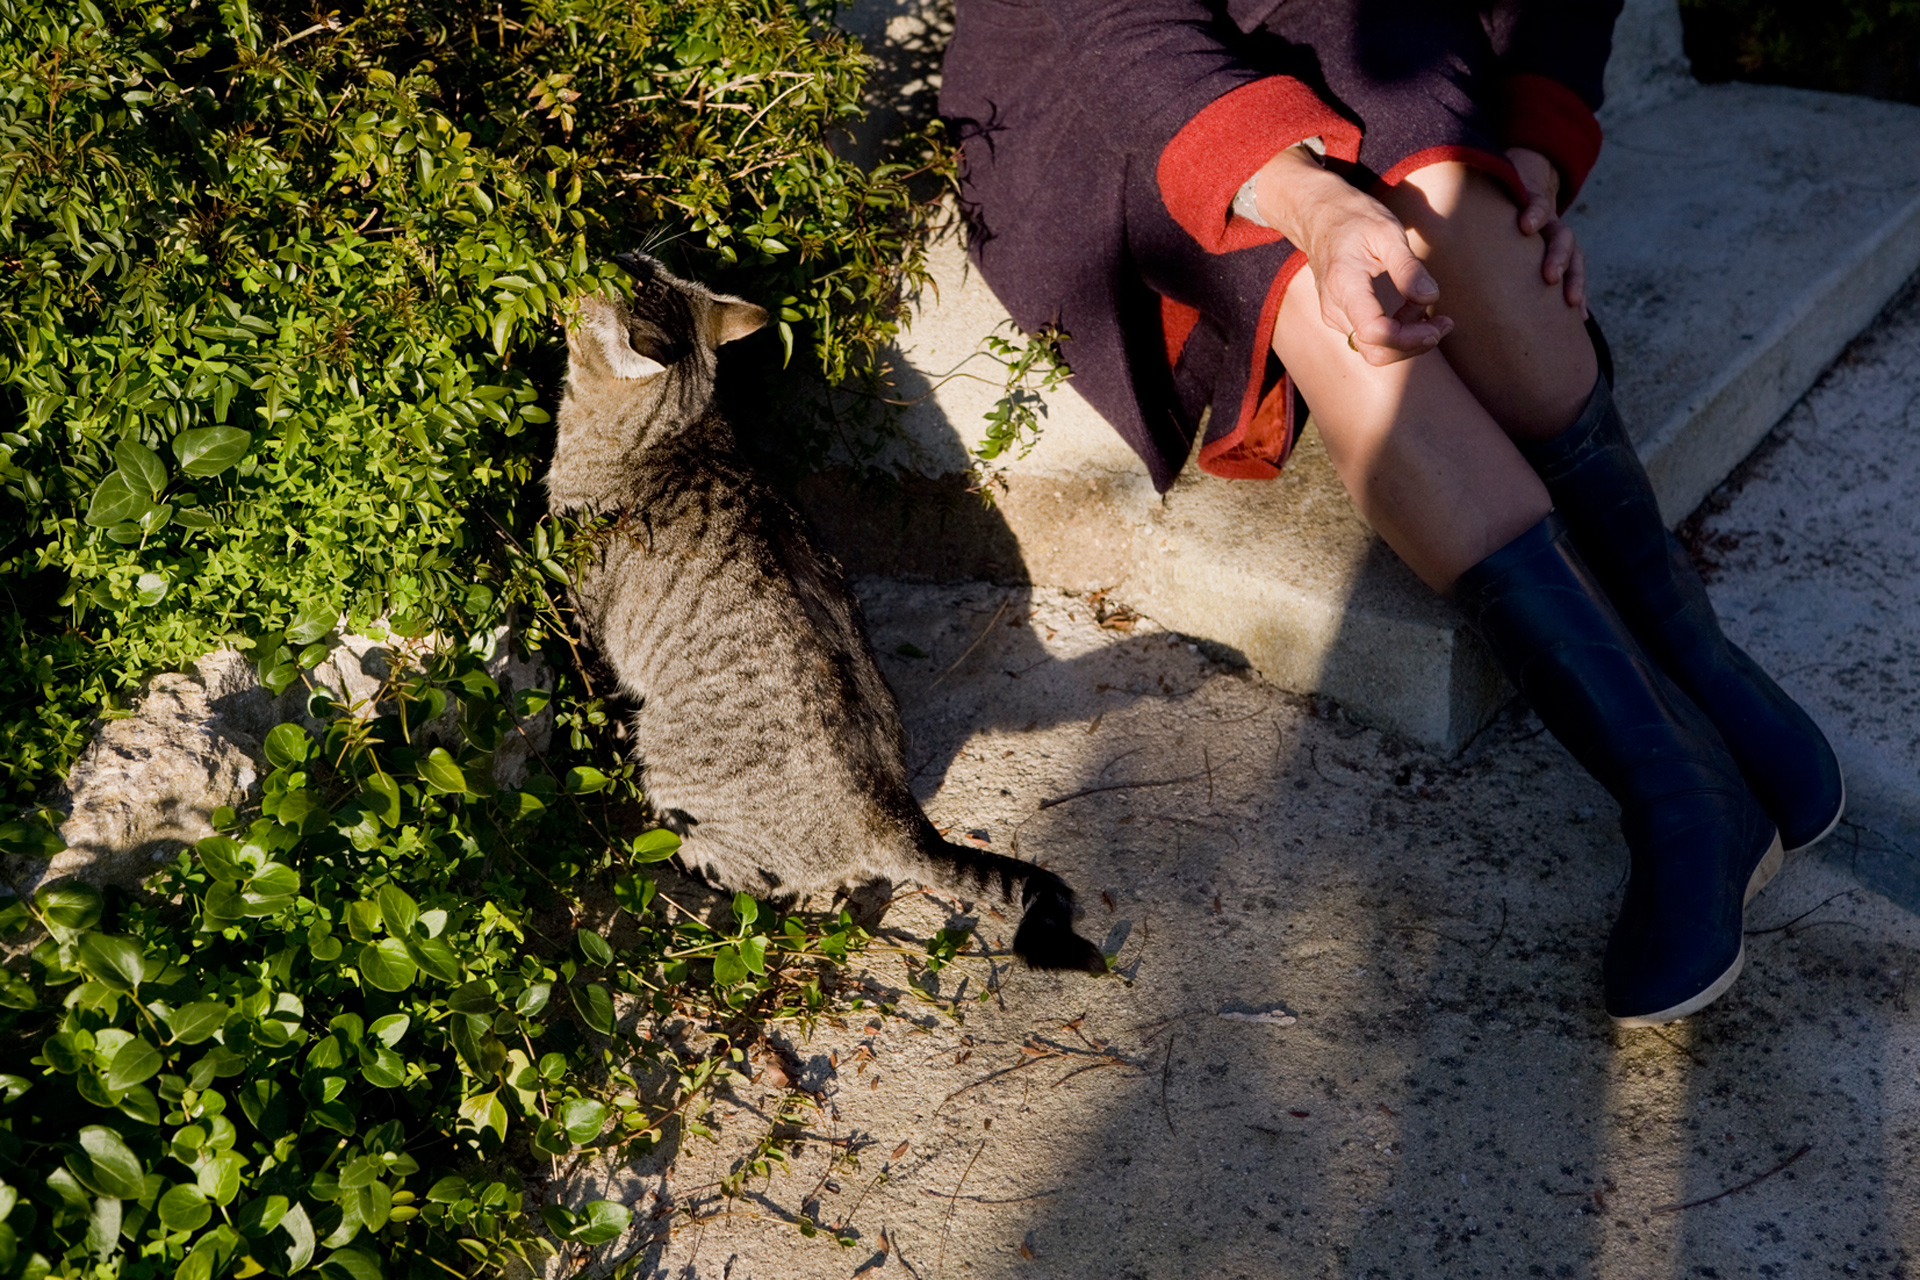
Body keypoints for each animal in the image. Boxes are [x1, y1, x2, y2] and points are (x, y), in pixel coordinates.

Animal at [549, 253, 1105, 971]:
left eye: (587, 282)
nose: (592, 258)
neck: (675, 435)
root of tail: (894, 814)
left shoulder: (584, 613)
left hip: (674, 766)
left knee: (761, 888)